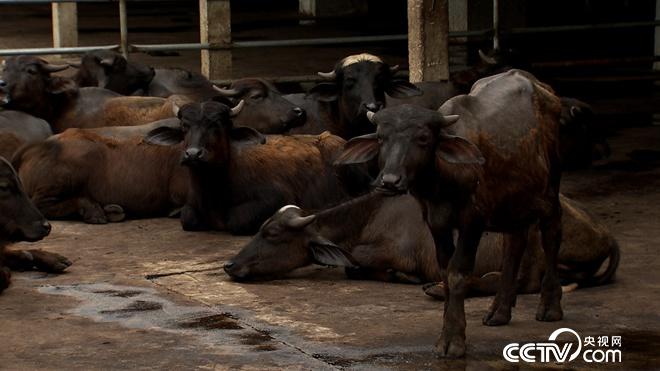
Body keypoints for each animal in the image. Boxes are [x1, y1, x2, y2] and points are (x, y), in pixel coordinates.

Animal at [144, 99, 350, 235]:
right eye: (184, 126)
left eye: (217, 125)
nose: (193, 154)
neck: (212, 193)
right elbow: (187, 218)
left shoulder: (275, 197)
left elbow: (238, 220)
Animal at [338, 70, 564, 358]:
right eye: (380, 137)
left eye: (423, 138)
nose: (389, 181)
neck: (441, 183)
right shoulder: (436, 221)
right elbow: (444, 271)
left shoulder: (473, 221)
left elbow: (458, 272)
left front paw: (453, 339)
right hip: (513, 199)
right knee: (515, 242)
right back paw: (499, 311)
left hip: (551, 187)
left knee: (552, 234)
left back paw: (550, 306)